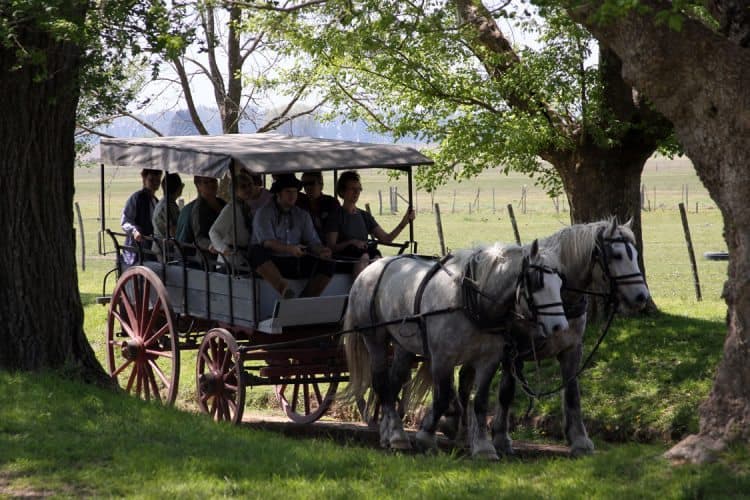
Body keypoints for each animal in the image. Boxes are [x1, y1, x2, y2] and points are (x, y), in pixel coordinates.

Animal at [344, 240, 568, 458]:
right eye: (537, 282)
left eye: (560, 283)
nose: (560, 327)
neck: (468, 304)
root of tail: (371, 268)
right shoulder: (442, 358)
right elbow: (442, 397)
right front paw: (426, 436)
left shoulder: (489, 360)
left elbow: (480, 401)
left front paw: (483, 447)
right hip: (375, 339)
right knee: (381, 383)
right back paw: (398, 436)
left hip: (402, 345)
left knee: (394, 383)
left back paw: (388, 434)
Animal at [484, 219, 648, 458]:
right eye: (617, 255)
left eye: (635, 254)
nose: (642, 297)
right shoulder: (510, 353)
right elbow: (506, 392)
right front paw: (500, 438)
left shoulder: (572, 349)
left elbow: (572, 394)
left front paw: (579, 439)